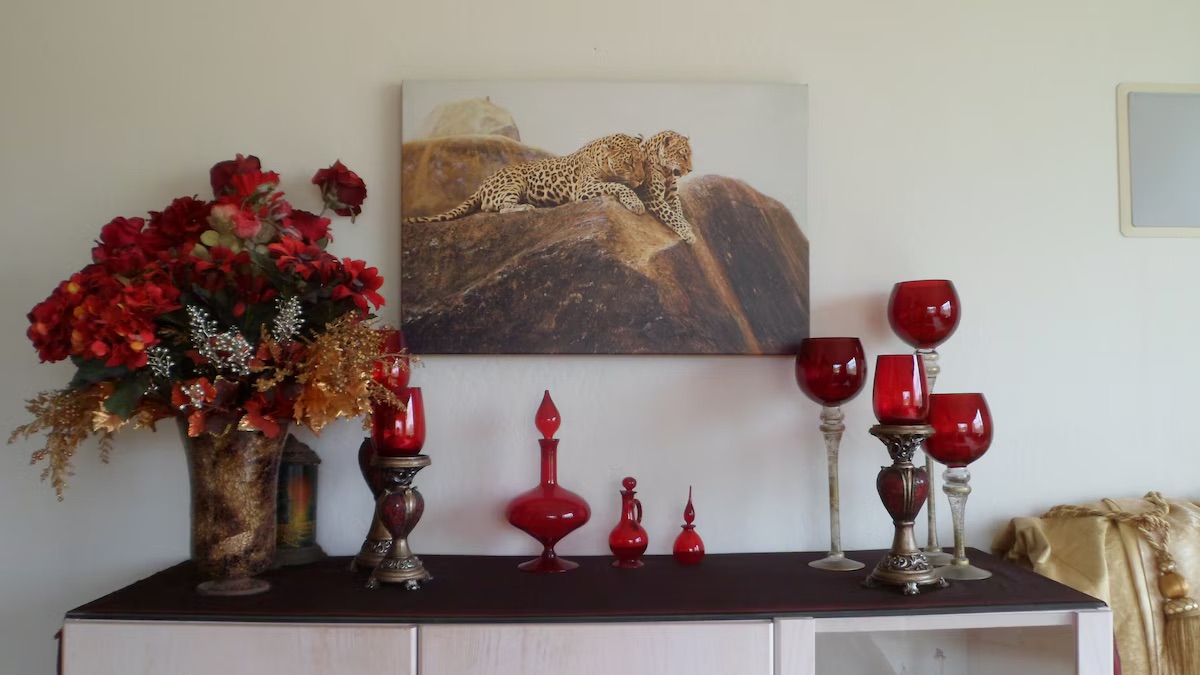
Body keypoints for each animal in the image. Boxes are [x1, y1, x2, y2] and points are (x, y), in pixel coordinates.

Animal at [403, 134, 647, 224]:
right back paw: (526, 207)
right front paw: (636, 204)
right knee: (499, 208)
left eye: (643, 162)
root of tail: (483, 183)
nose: (642, 179)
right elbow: (620, 186)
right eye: (629, 163)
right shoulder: (584, 189)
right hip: (513, 183)